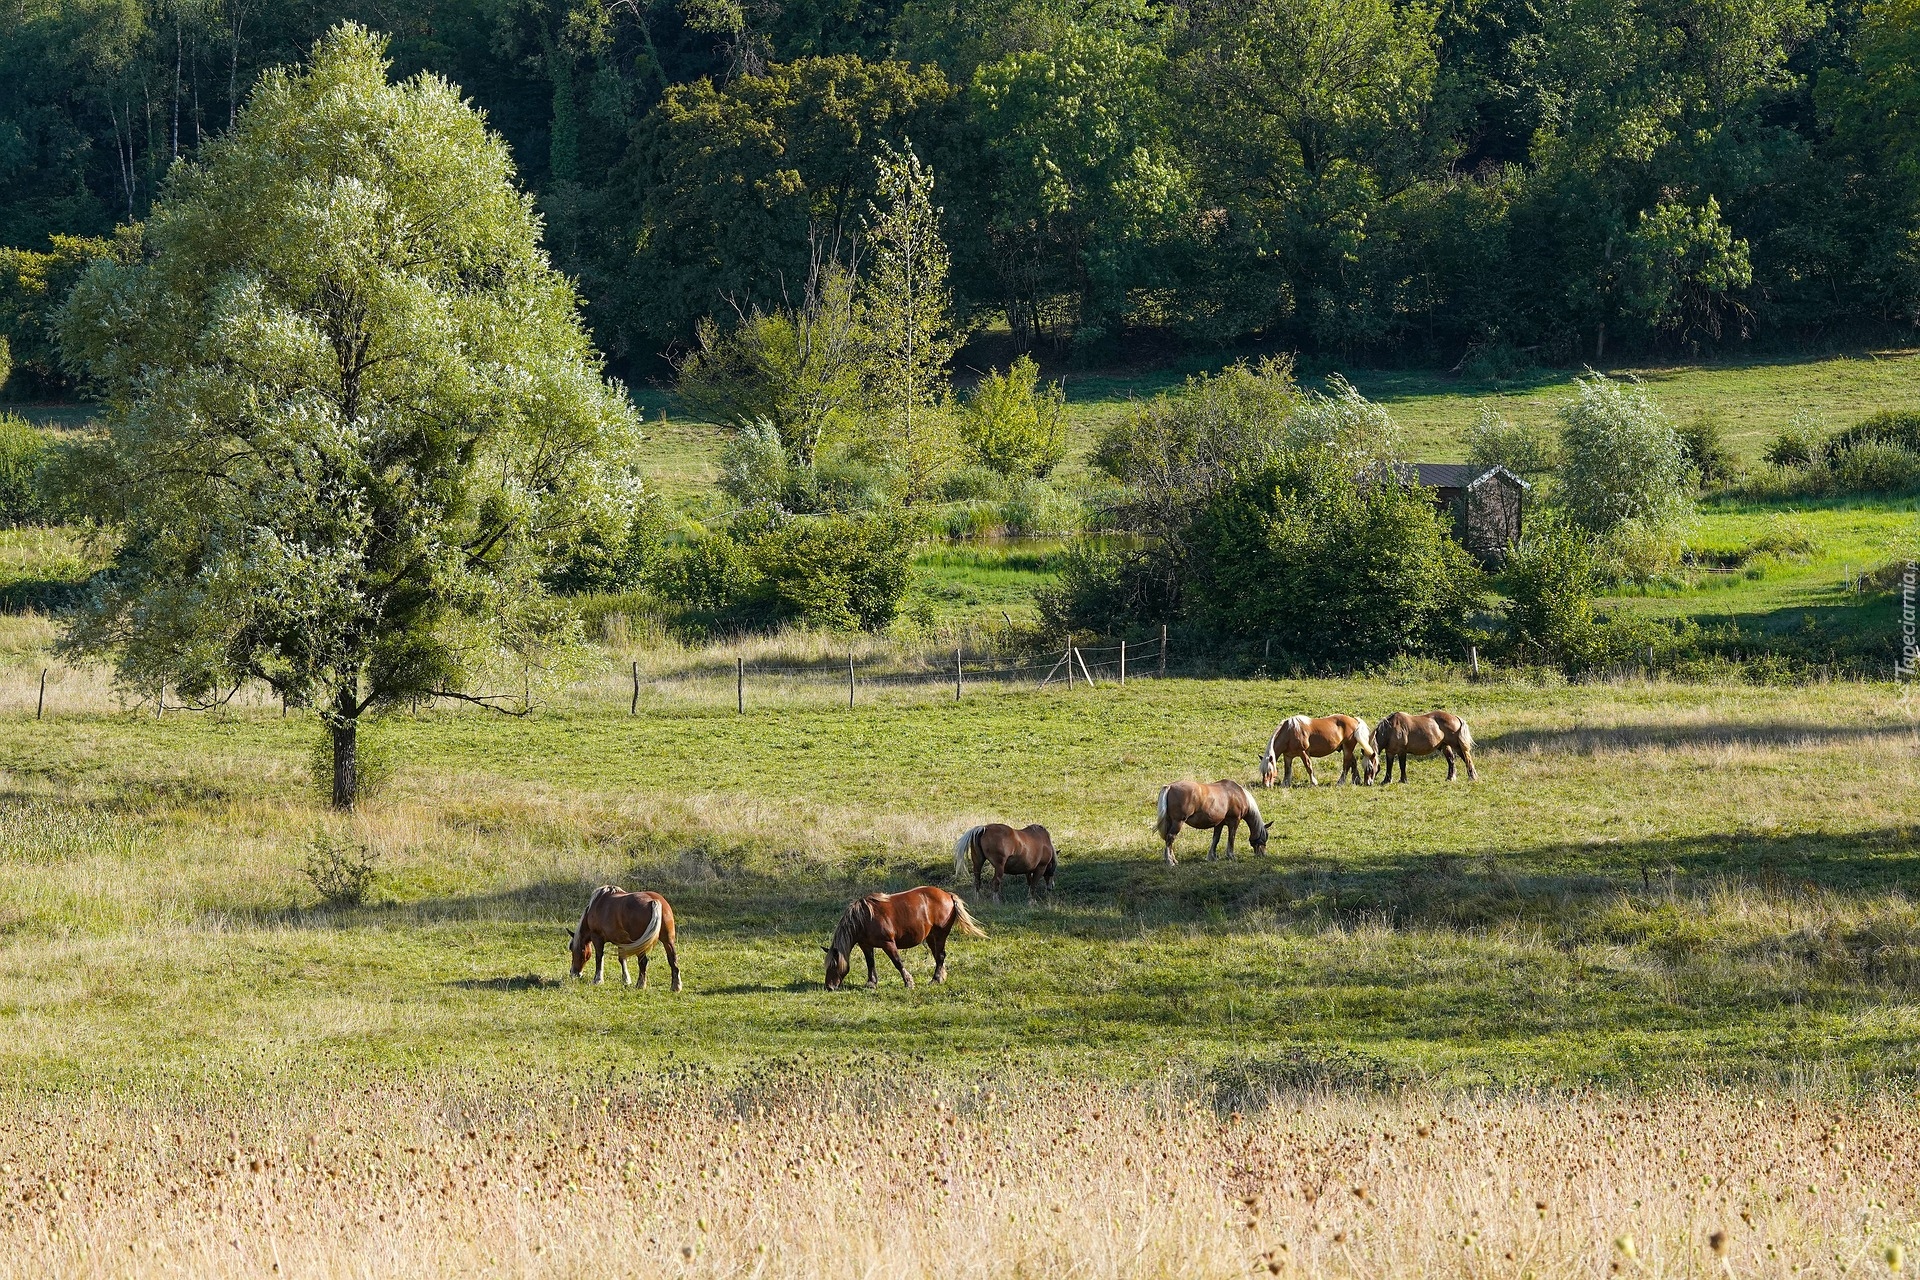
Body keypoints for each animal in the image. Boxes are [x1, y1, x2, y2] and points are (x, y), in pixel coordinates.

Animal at [817, 886, 983, 997]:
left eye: (834, 965)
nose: (829, 987)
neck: (864, 919)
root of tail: (948, 895)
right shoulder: (866, 945)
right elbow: (870, 963)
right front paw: (871, 983)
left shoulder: (888, 943)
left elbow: (897, 962)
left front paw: (908, 982)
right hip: (931, 937)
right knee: (938, 957)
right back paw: (940, 977)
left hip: (940, 934)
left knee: (941, 956)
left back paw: (935, 979)